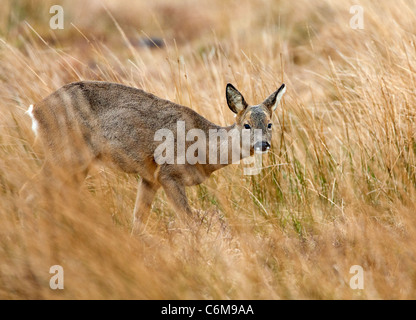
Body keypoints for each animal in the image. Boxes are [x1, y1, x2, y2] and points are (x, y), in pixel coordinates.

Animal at [26, 81, 286, 232]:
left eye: (270, 124)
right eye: (247, 125)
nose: (263, 145)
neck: (204, 148)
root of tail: (36, 109)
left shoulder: (150, 178)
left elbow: (138, 220)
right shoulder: (168, 174)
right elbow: (189, 220)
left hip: (77, 164)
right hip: (65, 154)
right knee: (33, 191)